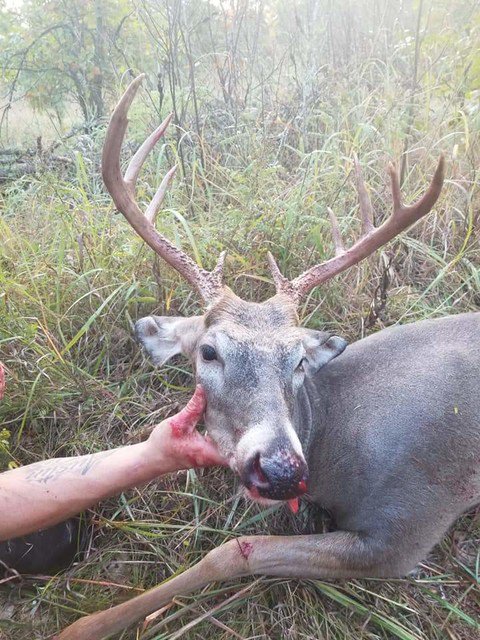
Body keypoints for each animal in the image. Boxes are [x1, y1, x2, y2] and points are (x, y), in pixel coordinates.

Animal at [57, 75, 480, 640]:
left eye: (298, 361)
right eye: (208, 352)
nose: (280, 470)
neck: (333, 439)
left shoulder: (406, 525)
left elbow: (233, 550)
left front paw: (87, 624)